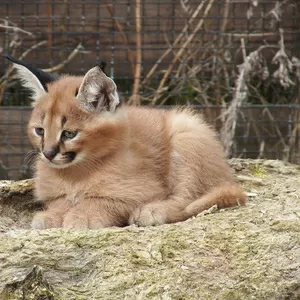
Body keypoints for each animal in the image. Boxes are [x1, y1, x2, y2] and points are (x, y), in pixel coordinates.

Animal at [6, 55, 246, 230]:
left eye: (69, 134)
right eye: (39, 130)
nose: (47, 153)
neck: (75, 173)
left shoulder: (142, 189)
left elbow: (104, 200)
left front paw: (82, 215)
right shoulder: (55, 193)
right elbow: (61, 200)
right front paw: (54, 215)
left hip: (186, 131)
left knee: (188, 198)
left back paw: (152, 211)